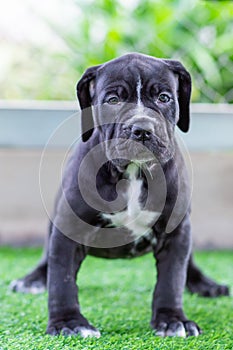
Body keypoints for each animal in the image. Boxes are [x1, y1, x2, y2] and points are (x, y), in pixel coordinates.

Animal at [11, 53, 228, 338]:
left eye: (164, 98)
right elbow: (62, 279)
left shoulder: (177, 231)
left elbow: (171, 279)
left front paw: (172, 319)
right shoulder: (68, 229)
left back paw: (204, 284)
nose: (142, 129)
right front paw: (69, 322)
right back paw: (32, 280)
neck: (133, 172)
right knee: (48, 257)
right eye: (113, 100)